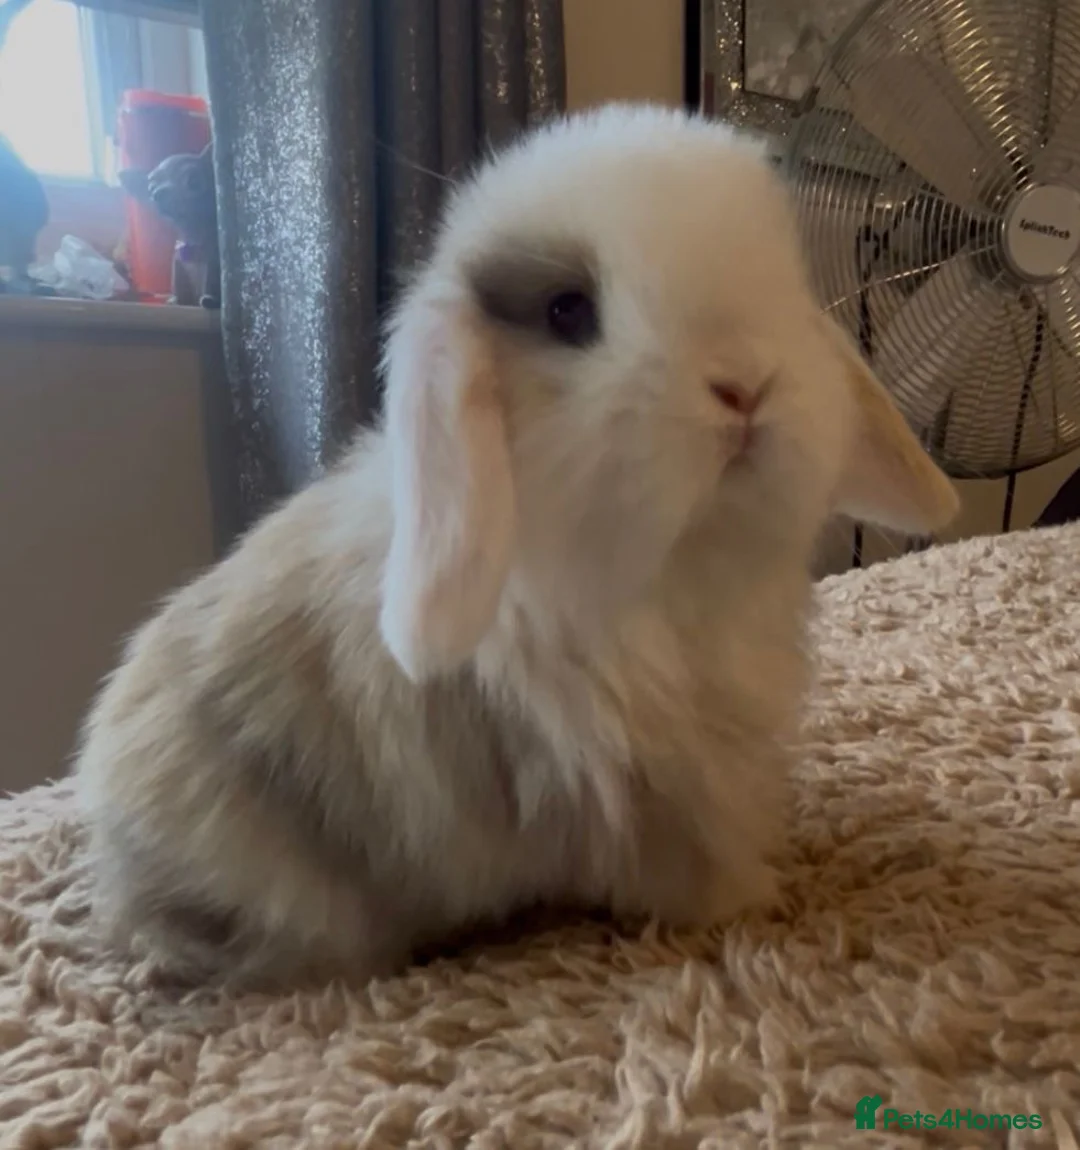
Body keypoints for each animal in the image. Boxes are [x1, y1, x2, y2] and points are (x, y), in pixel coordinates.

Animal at [73, 103, 959, 988]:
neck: (665, 574)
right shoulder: (651, 790)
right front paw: (762, 902)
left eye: (787, 283)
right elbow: (695, 870)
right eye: (568, 311)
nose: (746, 384)